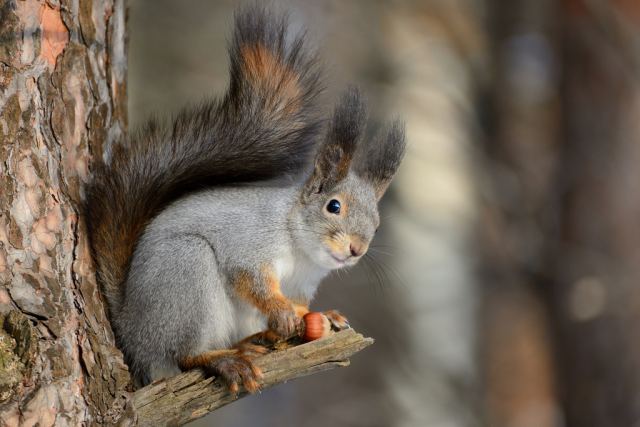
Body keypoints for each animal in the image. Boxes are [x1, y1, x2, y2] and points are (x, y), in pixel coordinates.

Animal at [85, 6, 405, 393]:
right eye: (334, 206)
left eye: (377, 224)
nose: (356, 249)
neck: (300, 248)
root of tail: (133, 335)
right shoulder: (248, 242)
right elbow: (249, 278)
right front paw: (282, 313)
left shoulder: (302, 285)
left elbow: (298, 303)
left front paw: (319, 316)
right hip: (186, 274)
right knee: (183, 355)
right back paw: (222, 359)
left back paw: (252, 343)